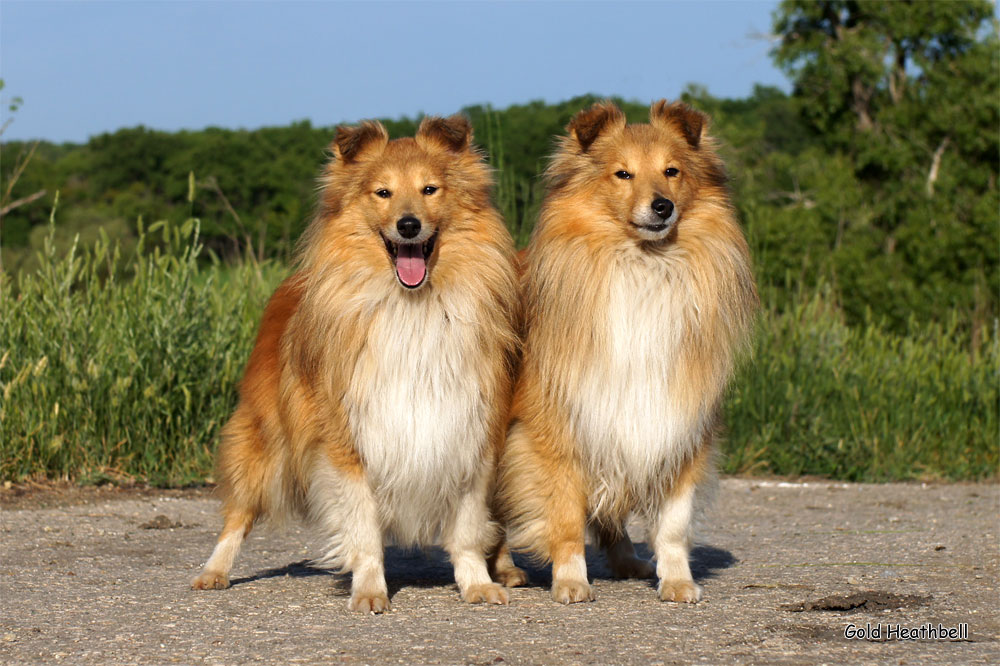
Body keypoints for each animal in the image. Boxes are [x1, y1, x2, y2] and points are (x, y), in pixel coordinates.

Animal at [195, 114, 524, 612]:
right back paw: (214, 572)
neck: (411, 308)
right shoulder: (348, 438)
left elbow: (468, 527)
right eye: (382, 192)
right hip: (264, 440)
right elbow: (364, 527)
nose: (408, 225)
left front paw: (476, 583)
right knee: (238, 513)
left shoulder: (472, 430)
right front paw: (370, 591)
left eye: (430, 189)